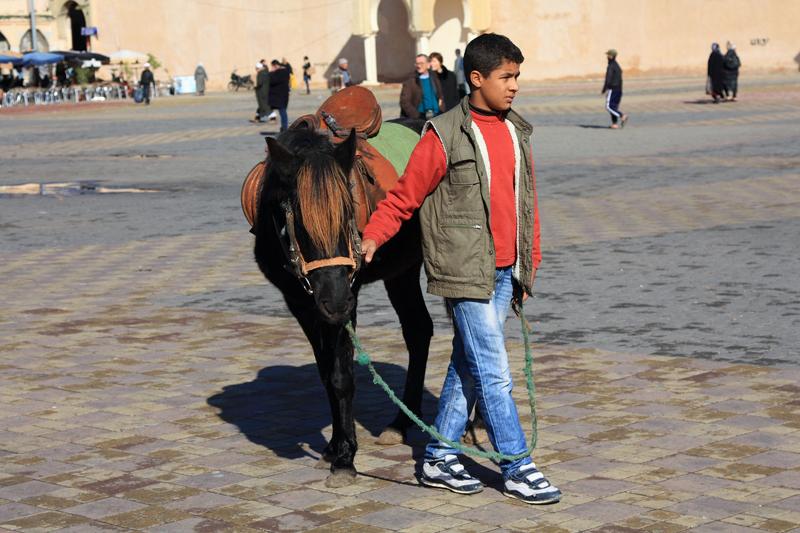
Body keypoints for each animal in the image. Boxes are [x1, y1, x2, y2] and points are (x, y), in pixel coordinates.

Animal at [255, 125, 432, 486]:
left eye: (350, 212)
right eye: (299, 223)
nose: (336, 301)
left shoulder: (348, 295)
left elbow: (341, 375)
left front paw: (346, 458)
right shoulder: (302, 303)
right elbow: (326, 373)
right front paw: (334, 447)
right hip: (402, 272)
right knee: (419, 330)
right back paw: (401, 423)